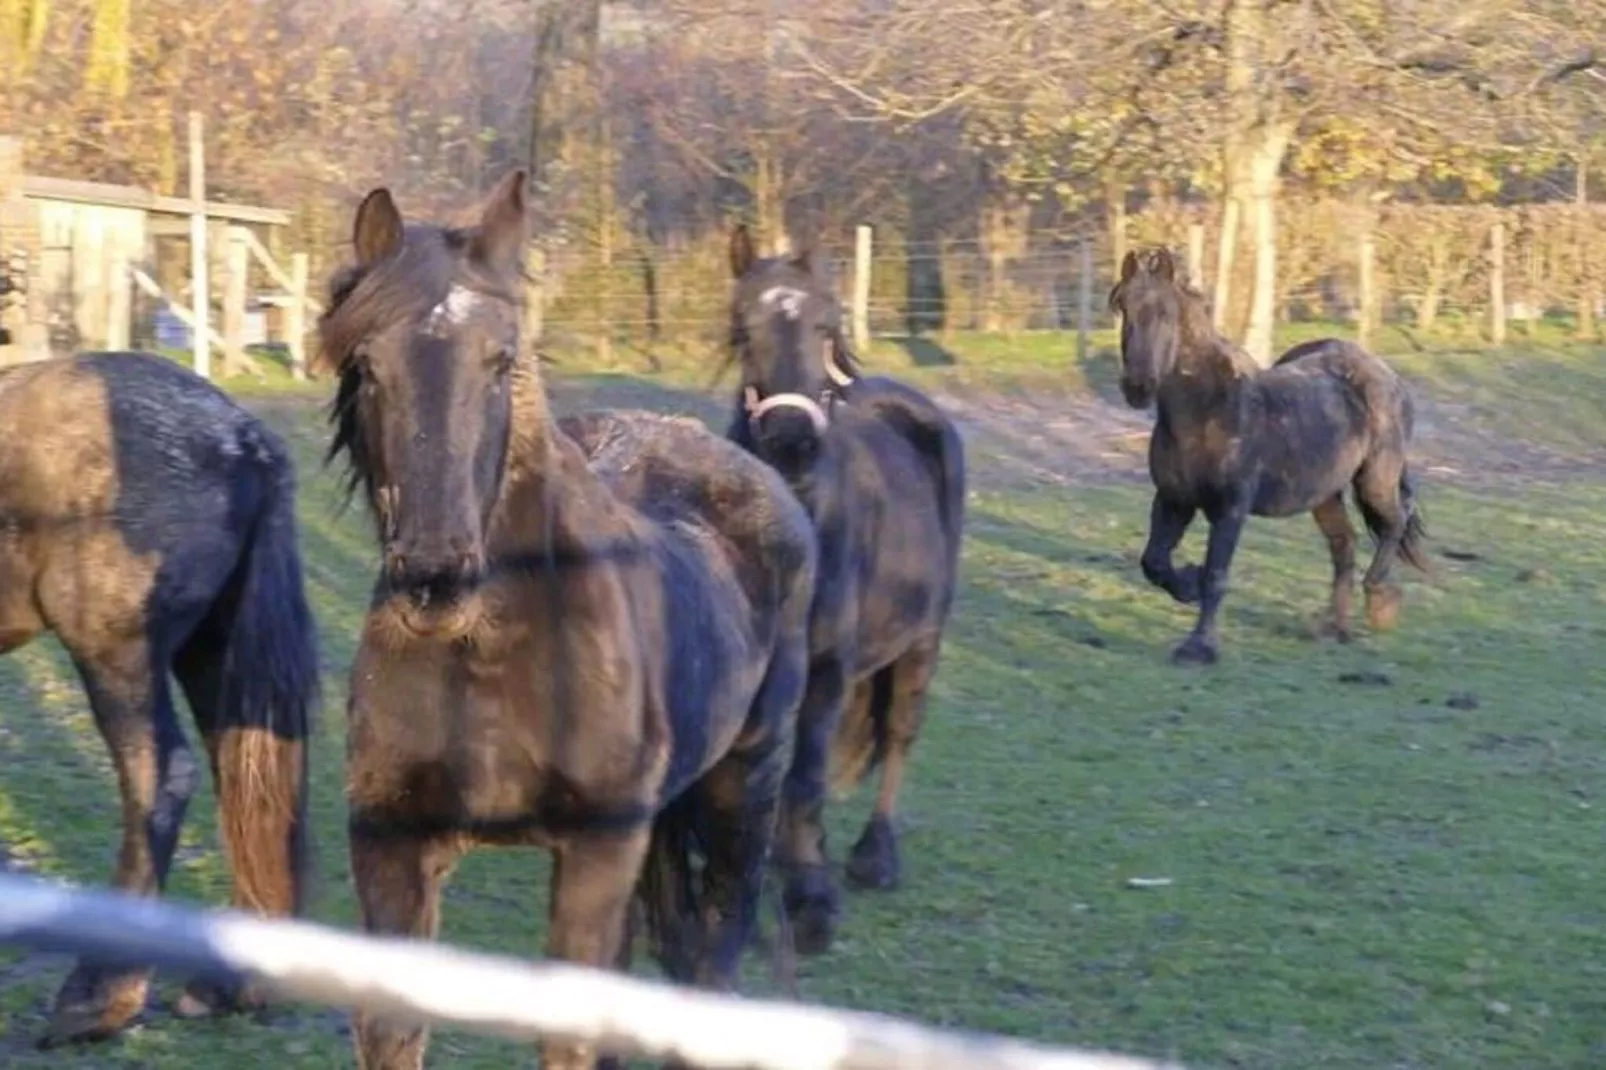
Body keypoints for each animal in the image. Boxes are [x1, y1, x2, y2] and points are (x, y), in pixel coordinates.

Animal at [0, 348, 316, 1041]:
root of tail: (244, 440)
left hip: (117, 654)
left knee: (159, 777)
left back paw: (97, 999)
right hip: (212, 654)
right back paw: (229, 988)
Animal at [317, 171, 815, 1060]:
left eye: (501, 360)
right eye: (368, 366)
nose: (436, 580)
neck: (494, 658)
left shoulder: (595, 852)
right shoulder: (391, 848)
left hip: (744, 791)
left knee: (711, 960)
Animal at [725, 223, 963, 951]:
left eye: (826, 327)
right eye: (741, 329)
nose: (793, 442)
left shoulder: (828, 666)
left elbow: (805, 773)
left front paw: (811, 897)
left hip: (922, 642)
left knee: (900, 735)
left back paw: (873, 856)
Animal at [1104, 247, 1432, 661]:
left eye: (1165, 312)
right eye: (1122, 306)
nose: (1138, 386)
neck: (1206, 412)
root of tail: (1386, 374)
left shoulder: (1230, 508)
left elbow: (1217, 575)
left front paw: (1199, 647)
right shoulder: (1173, 499)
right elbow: (1155, 563)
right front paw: (1189, 584)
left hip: (1375, 479)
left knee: (1394, 522)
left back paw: (1379, 602)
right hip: (1324, 494)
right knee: (1344, 544)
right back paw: (1334, 628)